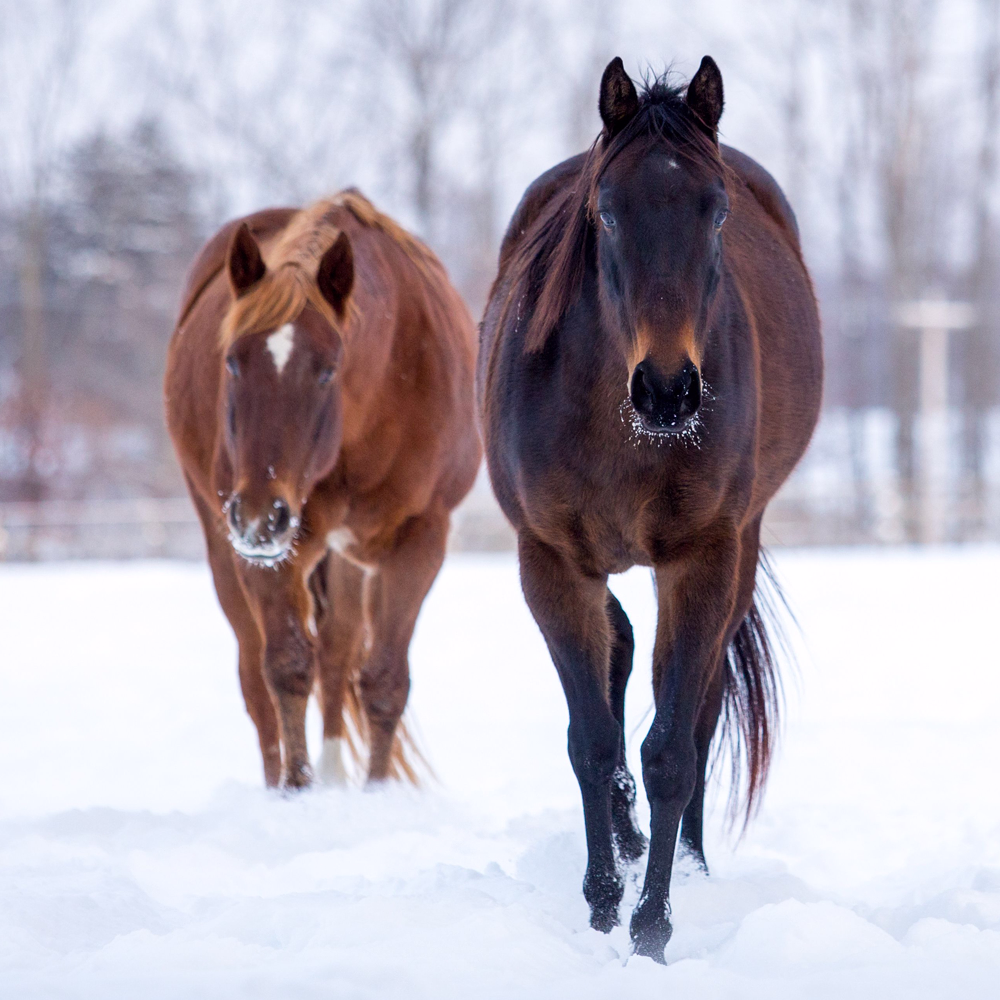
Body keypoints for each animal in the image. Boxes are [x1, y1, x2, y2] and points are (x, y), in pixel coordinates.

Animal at [165, 190, 481, 790]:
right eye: (231, 362)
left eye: (329, 370)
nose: (258, 518)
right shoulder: (273, 547)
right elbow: (286, 667)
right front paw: (296, 790)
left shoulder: (422, 537)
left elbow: (383, 682)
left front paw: (375, 793)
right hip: (229, 541)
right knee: (257, 675)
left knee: (338, 652)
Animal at [478, 57, 822, 959]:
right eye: (606, 210)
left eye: (718, 210)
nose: (668, 390)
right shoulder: (551, 561)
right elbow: (593, 742)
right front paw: (603, 901)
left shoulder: (703, 557)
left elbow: (672, 747)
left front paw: (653, 926)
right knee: (623, 653)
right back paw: (628, 839)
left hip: (737, 549)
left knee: (696, 711)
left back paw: (687, 863)